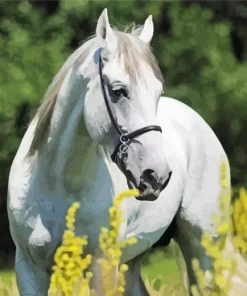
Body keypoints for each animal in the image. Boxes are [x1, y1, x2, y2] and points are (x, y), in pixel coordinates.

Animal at [8, 9, 232, 296]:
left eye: (157, 92)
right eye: (118, 91)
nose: (156, 176)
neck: (59, 183)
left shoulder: (102, 268)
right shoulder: (29, 269)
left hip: (203, 250)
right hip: (134, 259)